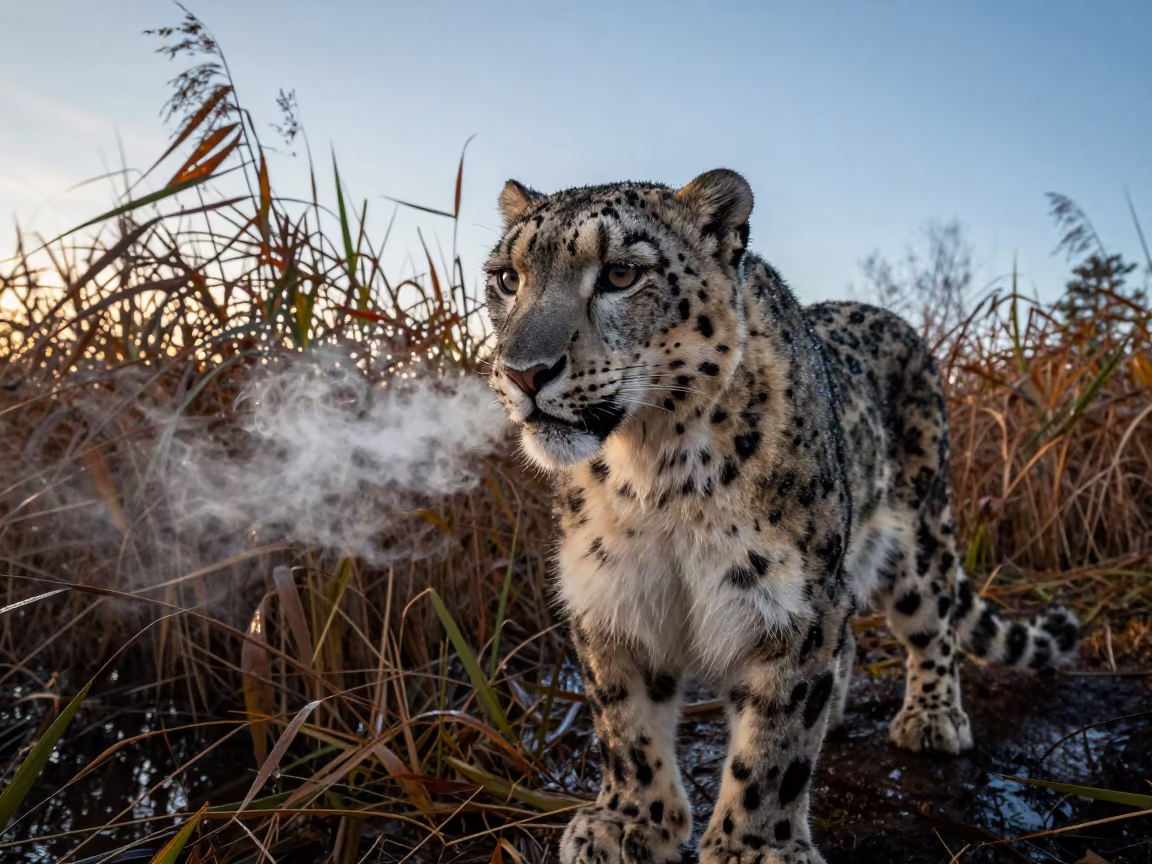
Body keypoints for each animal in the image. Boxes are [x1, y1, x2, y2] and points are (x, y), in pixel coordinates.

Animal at [482, 169, 1079, 864]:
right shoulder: (611, 593)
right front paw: (628, 823)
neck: (654, 474)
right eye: (507, 278)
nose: (524, 373)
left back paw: (932, 719)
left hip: (919, 536)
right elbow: (622, 720)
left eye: (622, 274)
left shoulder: (794, 604)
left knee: (933, 624)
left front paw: (754, 846)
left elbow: (774, 743)